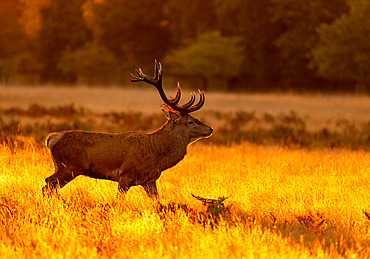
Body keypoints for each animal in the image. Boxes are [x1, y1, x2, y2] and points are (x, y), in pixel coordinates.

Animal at [42, 60, 212, 199]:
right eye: (191, 121)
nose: (210, 129)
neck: (156, 155)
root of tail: (51, 139)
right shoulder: (126, 174)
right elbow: (118, 200)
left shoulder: (149, 180)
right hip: (69, 167)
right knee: (47, 184)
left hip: (64, 167)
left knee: (49, 186)